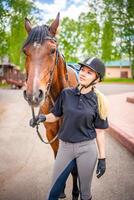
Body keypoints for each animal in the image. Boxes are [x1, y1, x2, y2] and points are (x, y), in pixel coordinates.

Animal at [22, 13, 79, 199]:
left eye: (53, 51)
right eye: (25, 51)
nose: (33, 95)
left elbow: (74, 167)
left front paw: (75, 192)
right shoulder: (51, 134)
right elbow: (58, 160)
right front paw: (60, 189)